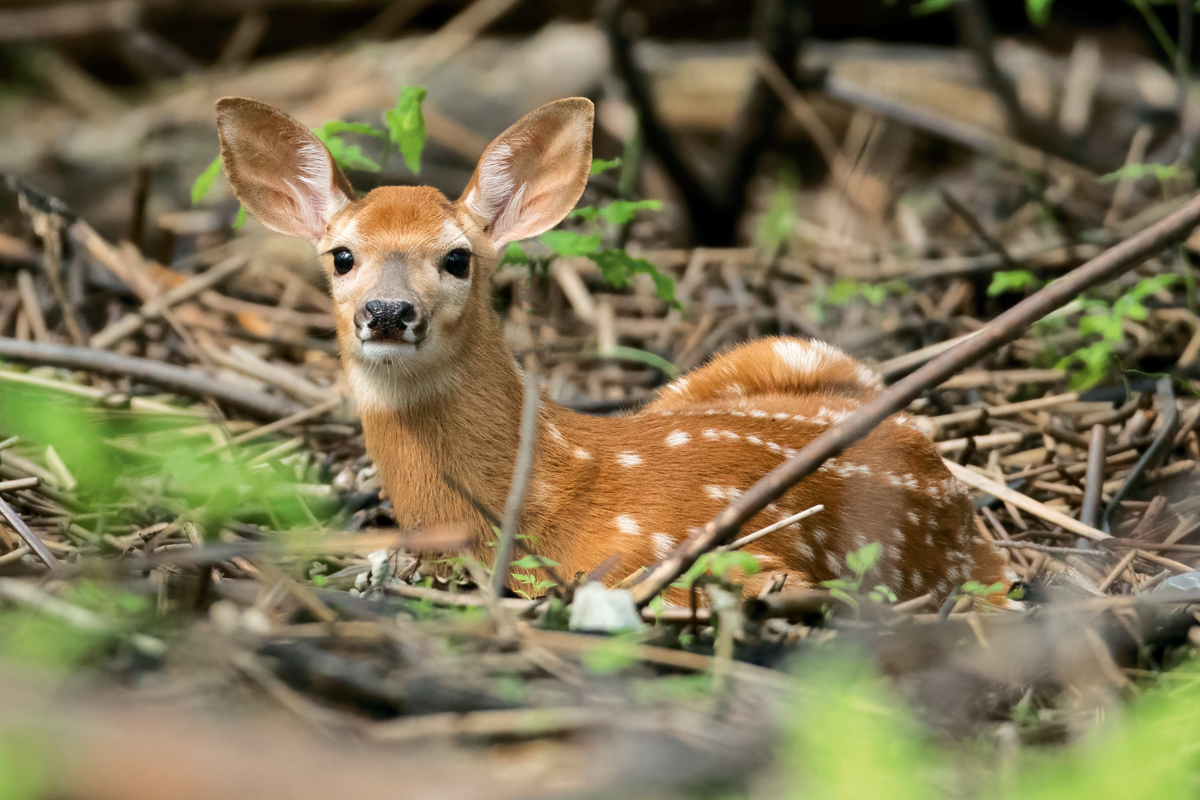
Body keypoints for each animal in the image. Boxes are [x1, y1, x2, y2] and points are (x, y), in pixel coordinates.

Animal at [215, 96, 1012, 607]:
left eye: (457, 259)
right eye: (342, 256)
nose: (387, 313)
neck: (548, 491)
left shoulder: (706, 561)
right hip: (786, 355)